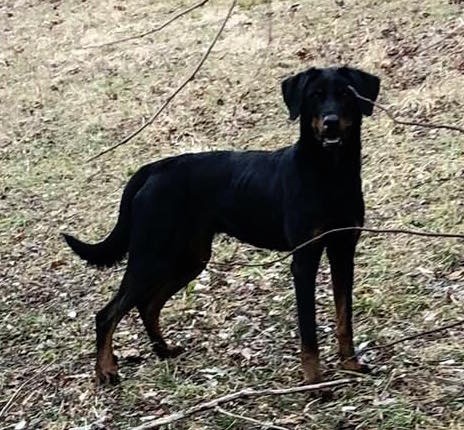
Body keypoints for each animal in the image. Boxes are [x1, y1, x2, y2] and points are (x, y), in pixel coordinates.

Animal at [63, 66, 378, 382]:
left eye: (346, 93)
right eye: (314, 96)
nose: (330, 123)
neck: (330, 174)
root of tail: (152, 169)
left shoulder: (343, 251)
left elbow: (344, 317)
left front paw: (350, 363)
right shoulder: (304, 260)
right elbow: (308, 331)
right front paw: (314, 380)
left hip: (189, 258)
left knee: (148, 305)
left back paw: (163, 350)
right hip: (151, 256)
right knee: (107, 314)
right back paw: (106, 370)